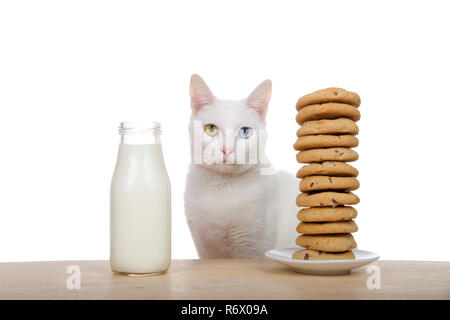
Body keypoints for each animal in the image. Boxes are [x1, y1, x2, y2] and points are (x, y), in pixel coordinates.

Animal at [183, 74, 298, 258]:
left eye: (245, 132)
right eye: (211, 129)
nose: (227, 149)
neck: (221, 189)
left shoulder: (251, 249)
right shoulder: (204, 249)